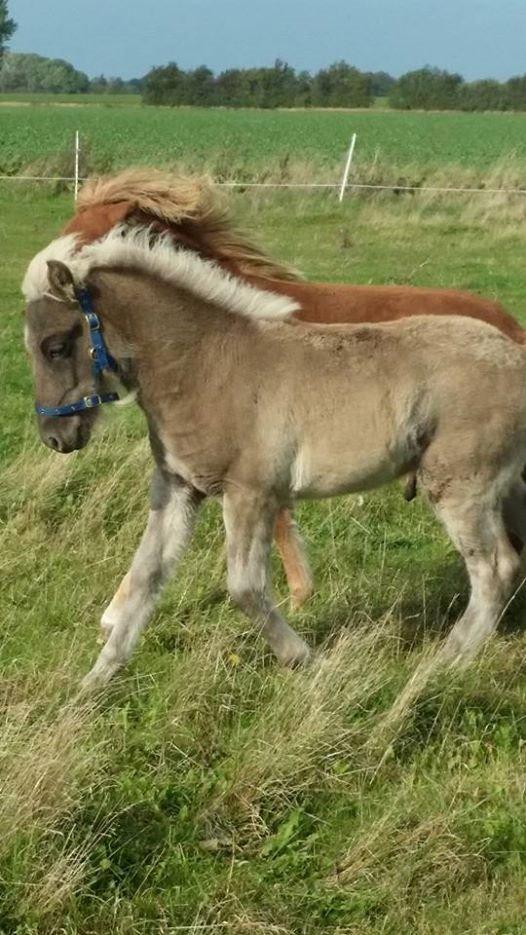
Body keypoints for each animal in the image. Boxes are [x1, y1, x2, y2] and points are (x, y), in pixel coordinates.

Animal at [23, 230, 526, 688]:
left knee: (494, 569)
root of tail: (515, 355)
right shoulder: (179, 487)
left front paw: (308, 662)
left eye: (56, 346)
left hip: (459, 484)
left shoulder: (251, 493)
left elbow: (245, 588)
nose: (56, 438)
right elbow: (147, 574)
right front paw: (94, 681)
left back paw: (442, 665)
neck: (205, 364)